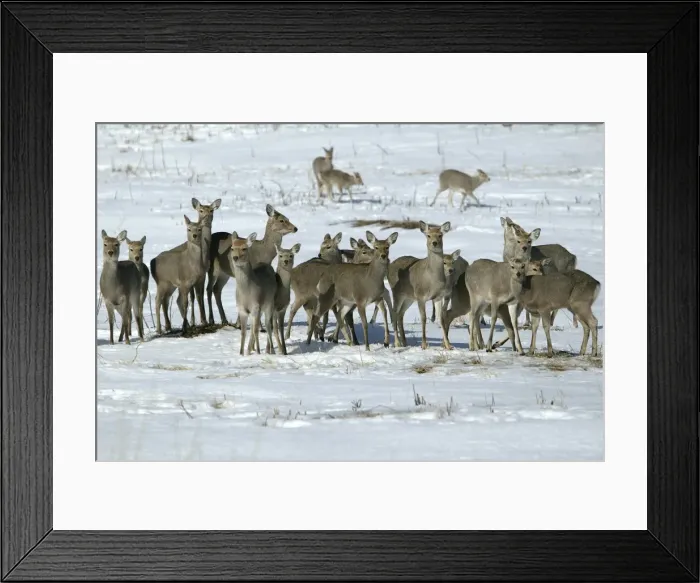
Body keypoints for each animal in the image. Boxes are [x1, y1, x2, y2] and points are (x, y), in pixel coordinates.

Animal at [388, 221, 452, 350]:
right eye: (428, 235)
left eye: (440, 235)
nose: (434, 243)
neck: (432, 279)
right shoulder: (420, 295)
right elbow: (423, 318)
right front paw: (423, 345)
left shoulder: (438, 297)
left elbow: (441, 319)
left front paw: (448, 345)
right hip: (397, 293)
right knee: (394, 312)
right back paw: (397, 343)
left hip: (408, 297)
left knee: (401, 313)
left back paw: (404, 342)